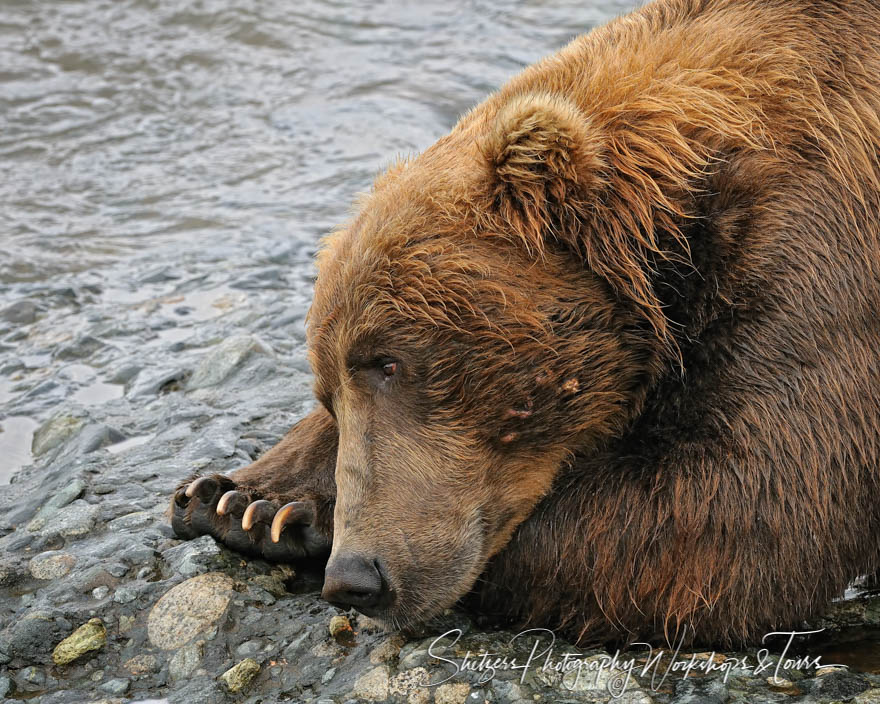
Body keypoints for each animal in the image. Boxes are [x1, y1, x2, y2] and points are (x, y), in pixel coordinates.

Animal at [168, 0, 880, 648]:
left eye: (391, 360)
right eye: (329, 391)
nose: (357, 577)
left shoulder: (807, 258)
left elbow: (740, 517)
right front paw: (247, 503)